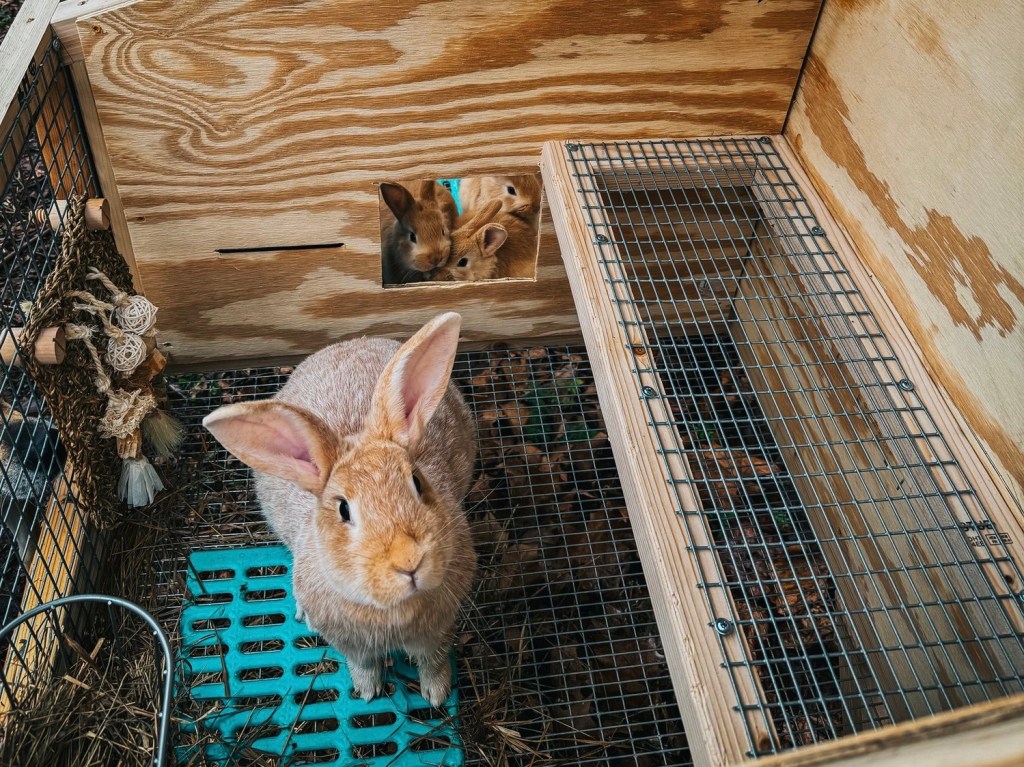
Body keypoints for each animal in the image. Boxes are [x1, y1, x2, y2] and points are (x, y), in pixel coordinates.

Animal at [203, 313, 477, 707]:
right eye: (344, 510)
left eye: (417, 481)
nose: (409, 562)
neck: (392, 609)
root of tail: (350, 342)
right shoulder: (352, 644)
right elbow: (363, 664)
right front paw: (368, 692)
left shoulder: (437, 631)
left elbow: (434, 660)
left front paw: (436, 695)